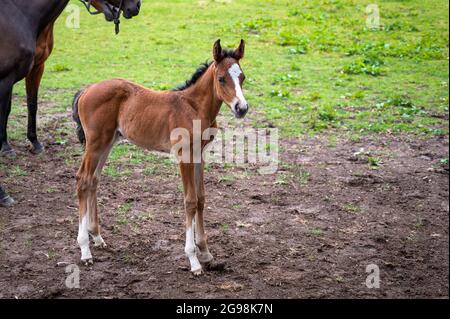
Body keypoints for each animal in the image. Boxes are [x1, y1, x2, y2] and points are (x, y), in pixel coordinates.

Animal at [0, 0, 141, 208]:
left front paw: (34, 142)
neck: (18, 15)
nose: (136, 6)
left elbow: (32, 104)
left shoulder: (37, 66)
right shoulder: (5, 80)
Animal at [74, 39, 250, 276]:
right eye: (221, 78)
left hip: (108, 143)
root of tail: (87, 89)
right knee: (83, 180)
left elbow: (201, 199)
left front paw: (206, 253)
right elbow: (190, 201)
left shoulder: (199, 155)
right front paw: (194, 260)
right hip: (95, 143)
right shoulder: (184, 155)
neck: (194, 108)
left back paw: (98, 238)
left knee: (93, 180)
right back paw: (85, 250)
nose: (242, 108)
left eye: (242, 77)